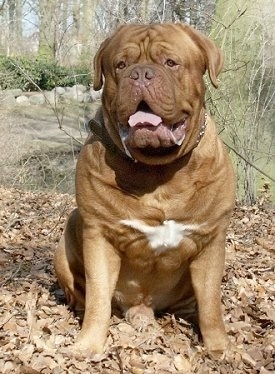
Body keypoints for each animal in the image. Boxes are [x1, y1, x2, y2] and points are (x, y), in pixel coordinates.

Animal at [55, 23, 236, 356]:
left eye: (171, 63)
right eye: (120, 65)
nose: (140, 74)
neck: (158, 170)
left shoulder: (211, 239)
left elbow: (210, 302)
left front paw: (219, 348)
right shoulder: (99, 234)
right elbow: (99, 297)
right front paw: (88, 345)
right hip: (68, 237)